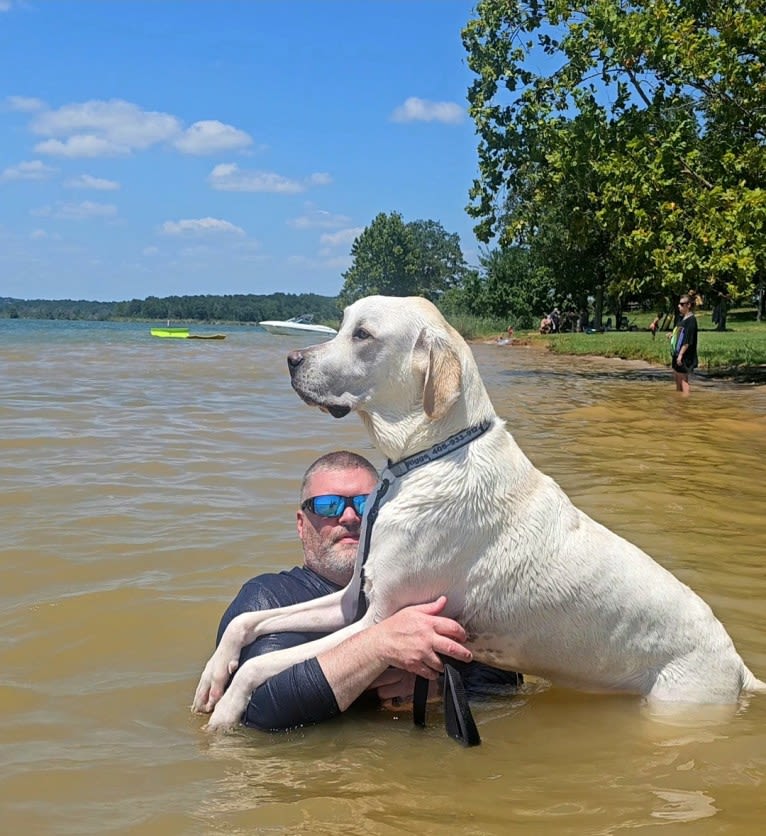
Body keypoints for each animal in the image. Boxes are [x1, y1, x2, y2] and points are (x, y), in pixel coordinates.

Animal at [194, 298, 766, 728]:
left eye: (363, 334)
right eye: (341, 324)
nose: (291, 359)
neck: (428, 457)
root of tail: (738, 666)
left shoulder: (380, 619)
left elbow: (268, 662)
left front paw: (227, 710)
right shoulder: (353, 600)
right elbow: (247, 621)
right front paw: (213, 677)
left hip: (680, 705)